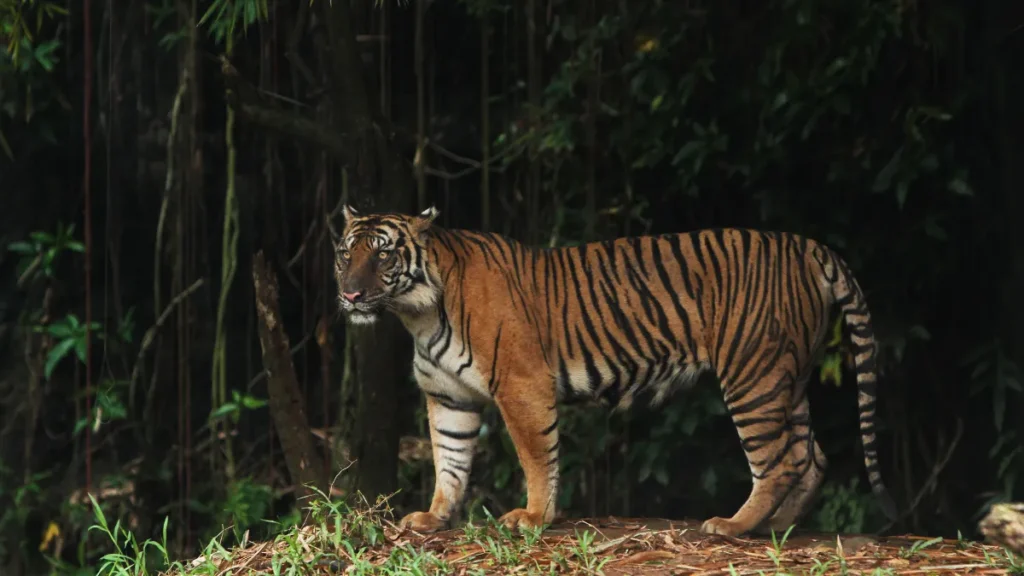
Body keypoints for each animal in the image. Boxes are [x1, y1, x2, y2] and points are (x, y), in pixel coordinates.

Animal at [331, 205, 898, 537]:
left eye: (383, 253)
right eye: (344, 253)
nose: (350, 295)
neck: (417, 314)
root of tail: (808, 246)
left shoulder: (521, 385)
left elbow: (537, 456)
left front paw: (534, 517)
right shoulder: (449, 397)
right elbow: (449, 460)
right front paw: (436, 516)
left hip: (752, 373)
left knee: (779, 460)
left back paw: (733, 525)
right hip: (789, 376)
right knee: (810, 456)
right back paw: (775, 527)